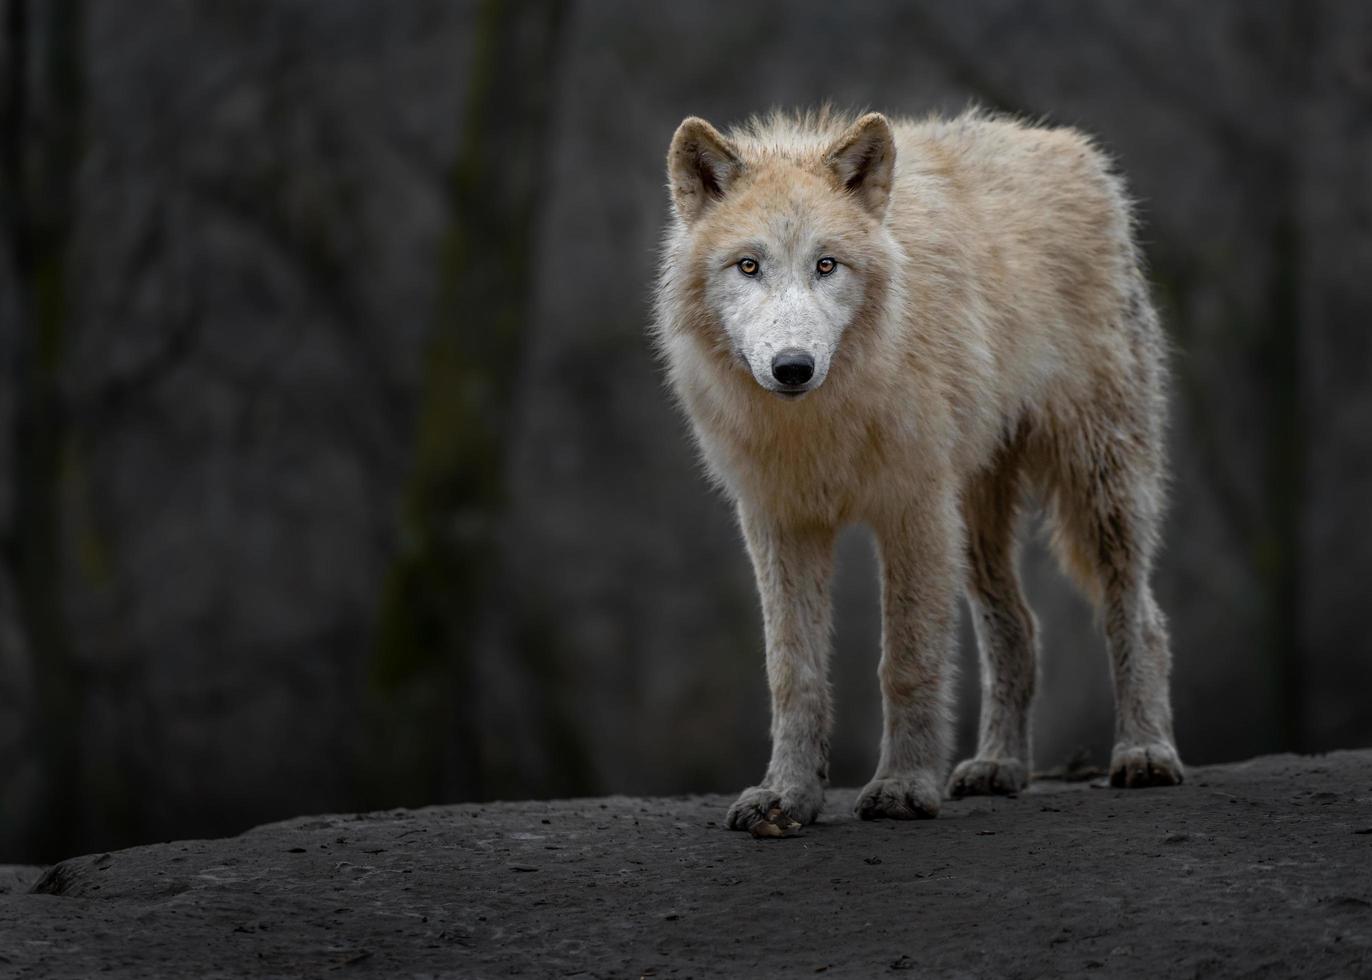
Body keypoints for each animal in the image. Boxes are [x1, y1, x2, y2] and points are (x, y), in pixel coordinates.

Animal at [650, 105, 1179, 823]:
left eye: (826, 264)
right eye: (748, 265)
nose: (793, 367)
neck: (822, 420)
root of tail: (1072, 148)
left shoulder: (912, 511)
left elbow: (906, 661)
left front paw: (902, 787)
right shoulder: (780, 522)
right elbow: (793, 674)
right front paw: (787, 796)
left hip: (1097, 482)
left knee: (1139, 615)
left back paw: (1145, 752)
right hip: (976, 519)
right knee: (1020, 628)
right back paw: (998, 767)